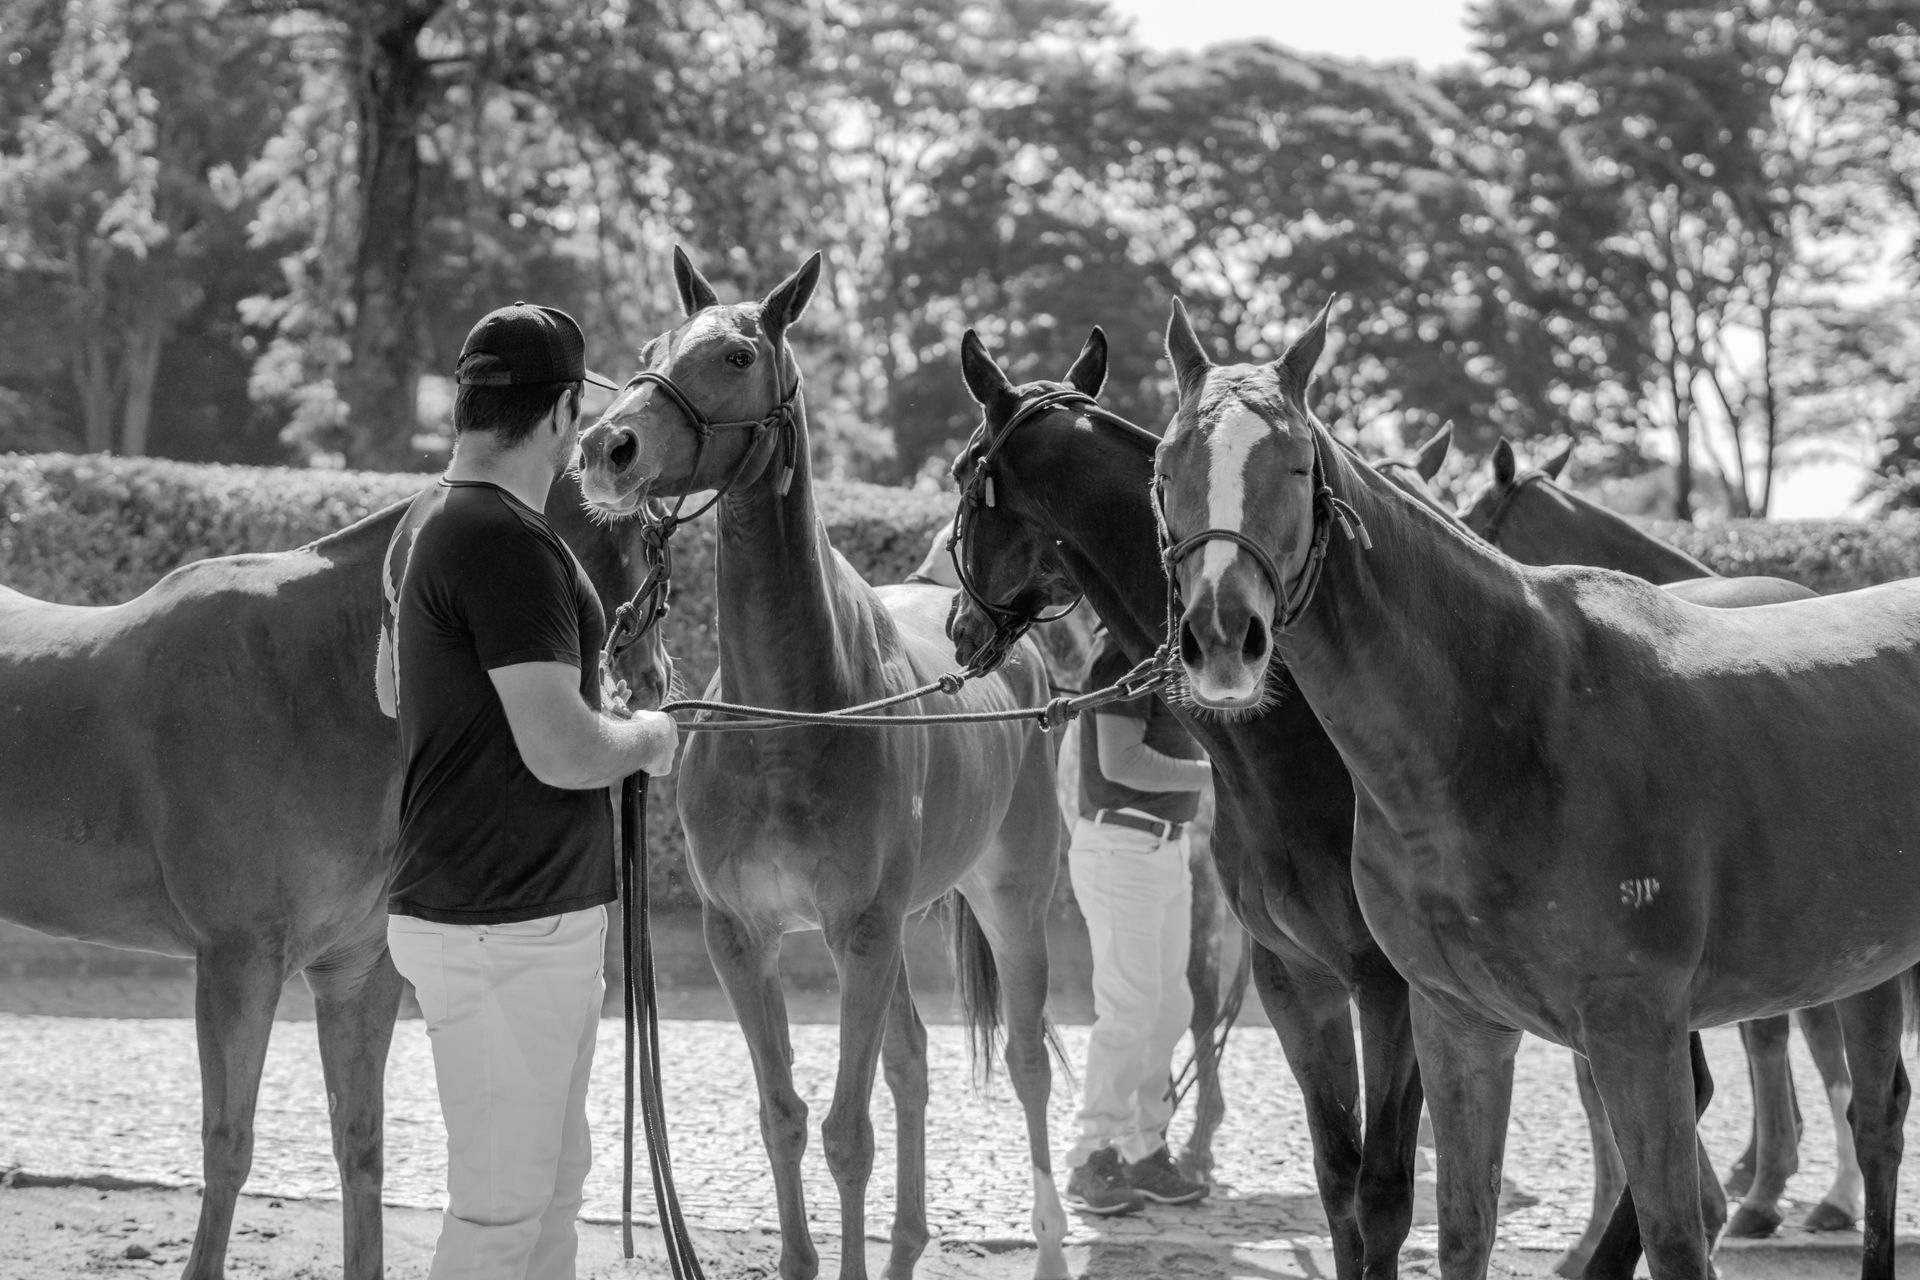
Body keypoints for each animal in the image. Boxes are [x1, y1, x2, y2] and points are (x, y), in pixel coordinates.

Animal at [0, 469, 667, 1280]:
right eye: (644, 538)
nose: (654, 681)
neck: (321, 677)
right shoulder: (238, 961)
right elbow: (228, 1145)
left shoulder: (358, 970)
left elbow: (361, 1144)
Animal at [573, 248, 1070, 1280]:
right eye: (650, 347)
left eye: (735, 354)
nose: (608, 448)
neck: (789, 714)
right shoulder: (743, 936)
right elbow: (786, 1116)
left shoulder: (861, 933)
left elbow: (847, 1132)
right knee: (913, 1064)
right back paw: (908, 1243)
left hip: (1010, 900)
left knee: (1027, 1063)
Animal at [942, 325, 1432, 1280]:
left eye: (960, 473)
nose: (958, 628)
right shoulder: (1296, 970)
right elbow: (1341, 1181)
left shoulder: (1398, 987)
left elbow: (1386, 1193)